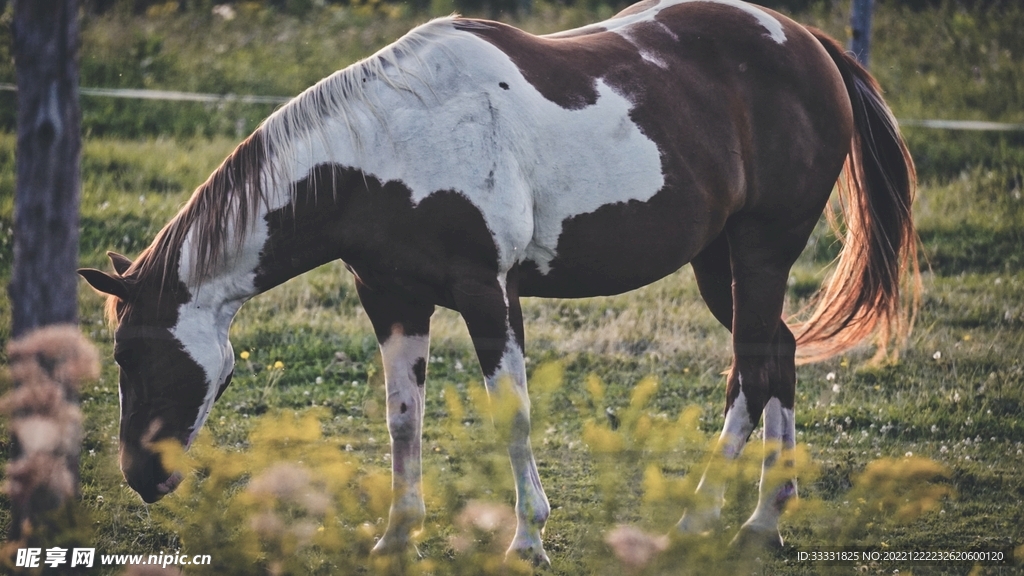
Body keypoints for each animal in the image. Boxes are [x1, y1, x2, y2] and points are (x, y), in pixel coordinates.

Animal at [79, 0, 918, 564]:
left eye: (129, 356)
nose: (141, 478)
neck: (383, 151)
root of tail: (807, 42)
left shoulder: (489, 292)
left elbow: (511, 414)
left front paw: (527, 540)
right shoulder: (393, 300)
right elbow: (402, 419)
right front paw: (397, 536)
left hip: (761, 252)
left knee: (755, 364)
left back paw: (716, 521)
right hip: (720, 262)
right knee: (774, 356)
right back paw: (753, 521)